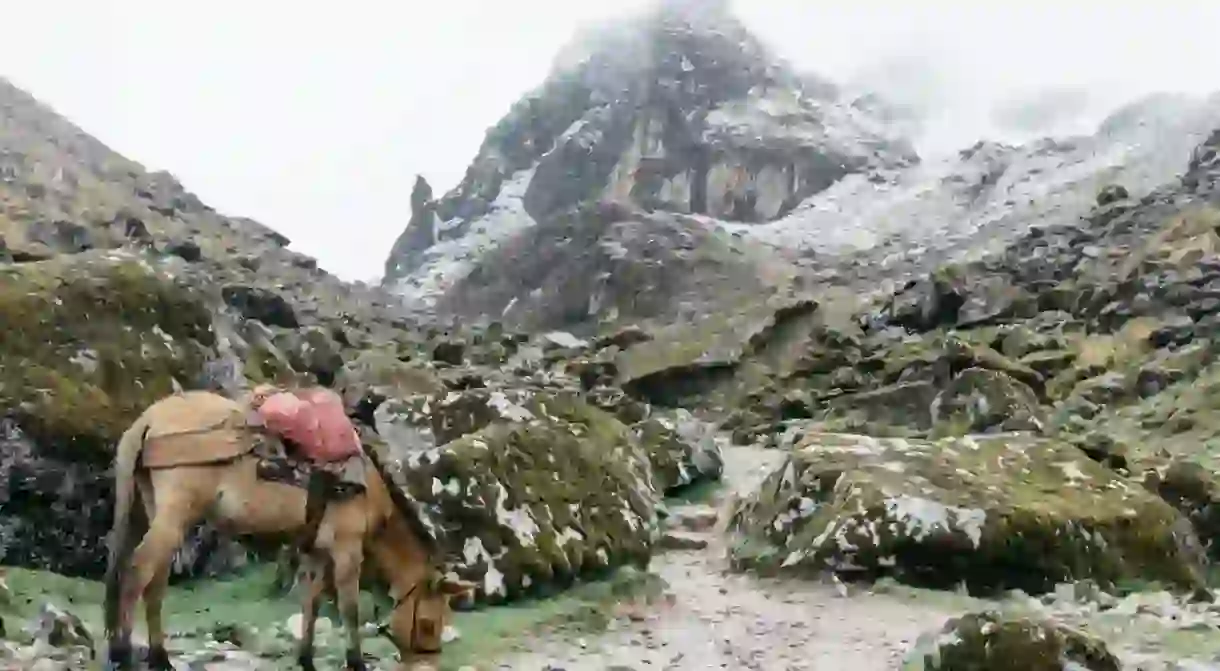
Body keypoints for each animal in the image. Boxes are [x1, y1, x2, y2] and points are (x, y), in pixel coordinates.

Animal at [102, 392, 473, 671]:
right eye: (428, 624)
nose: (425, 662)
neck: (370, 489)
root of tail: (148, 418)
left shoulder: (316, 552)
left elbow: (312, 602)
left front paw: (306, 659)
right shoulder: (347, 550)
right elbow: (349, 607)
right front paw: (356, 662)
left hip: (162, 514)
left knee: (156, 580)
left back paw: (159, 658)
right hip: (176, 514)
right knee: (137, 570)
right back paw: (122, 655)